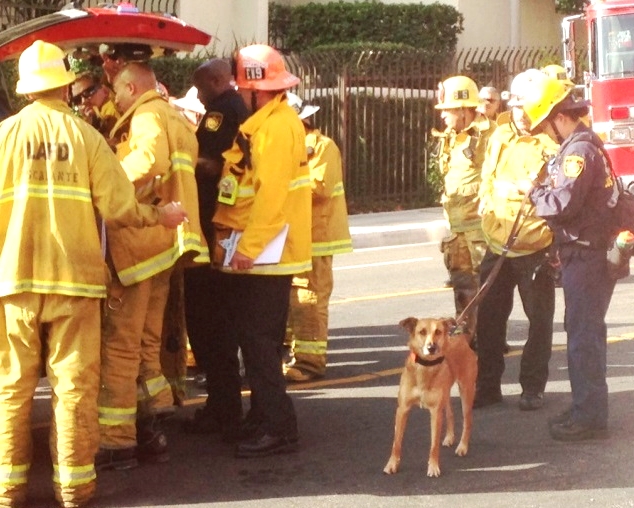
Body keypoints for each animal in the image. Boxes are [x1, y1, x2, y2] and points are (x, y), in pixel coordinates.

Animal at [380, 318, 474, 476]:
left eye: (438, 332)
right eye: (422, 332)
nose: (431, 347)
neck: (425, 369)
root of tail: (462, 338)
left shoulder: (435, 412)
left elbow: (433, 444)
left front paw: (433, 467)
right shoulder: (402, 409)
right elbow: (396, 442)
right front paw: (391, 464)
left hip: (466, 391)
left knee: (467, 421)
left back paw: (463, 446)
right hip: (446, 394)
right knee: (450, 413)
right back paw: (449, 437)